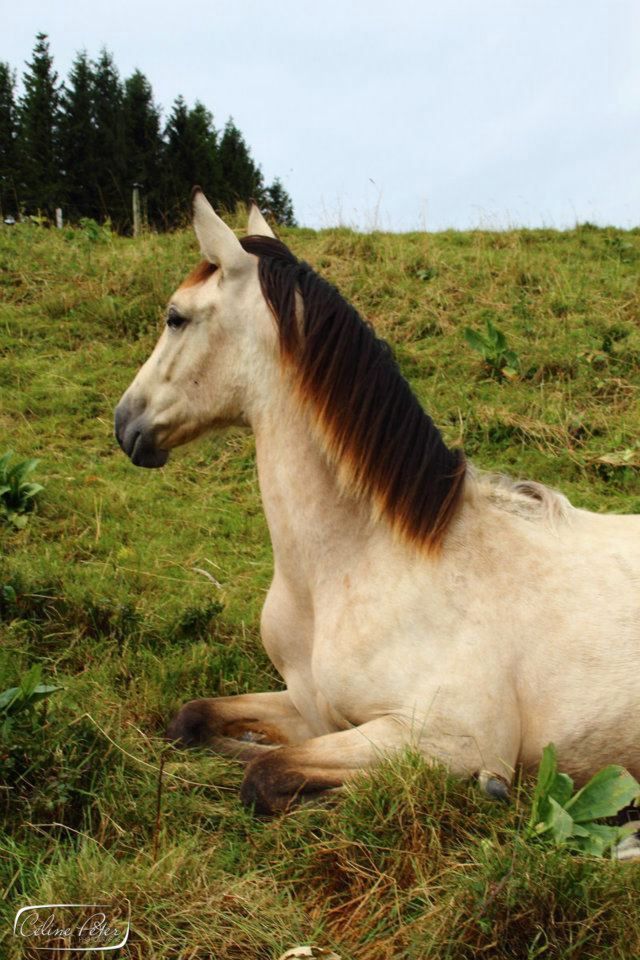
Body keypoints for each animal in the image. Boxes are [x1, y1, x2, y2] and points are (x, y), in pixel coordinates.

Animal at [115, 190, 640, 818]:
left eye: (176, 316)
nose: (124, 422)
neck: (361, 561)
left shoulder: (449, 737)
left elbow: (266, 775)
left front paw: (488, 787)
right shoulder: (308, 703)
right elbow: (193, 719)